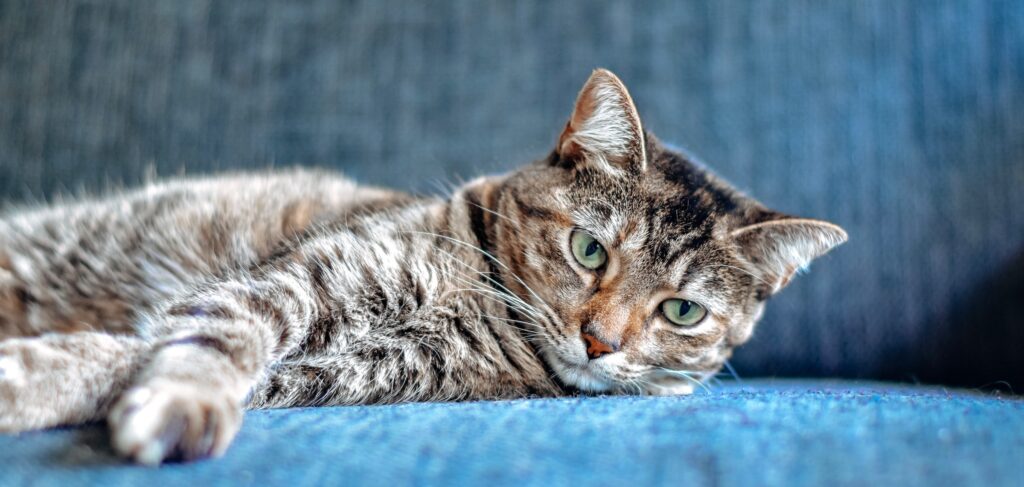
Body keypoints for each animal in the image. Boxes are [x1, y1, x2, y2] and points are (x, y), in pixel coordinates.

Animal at [0, 69, 843, 464]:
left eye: (682, 311)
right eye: (590, 249)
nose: (601, 341)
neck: (477, 306)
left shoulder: (336, 375)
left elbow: (127, 353)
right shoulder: (292, 282)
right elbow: (214, 337)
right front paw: (184, 400)